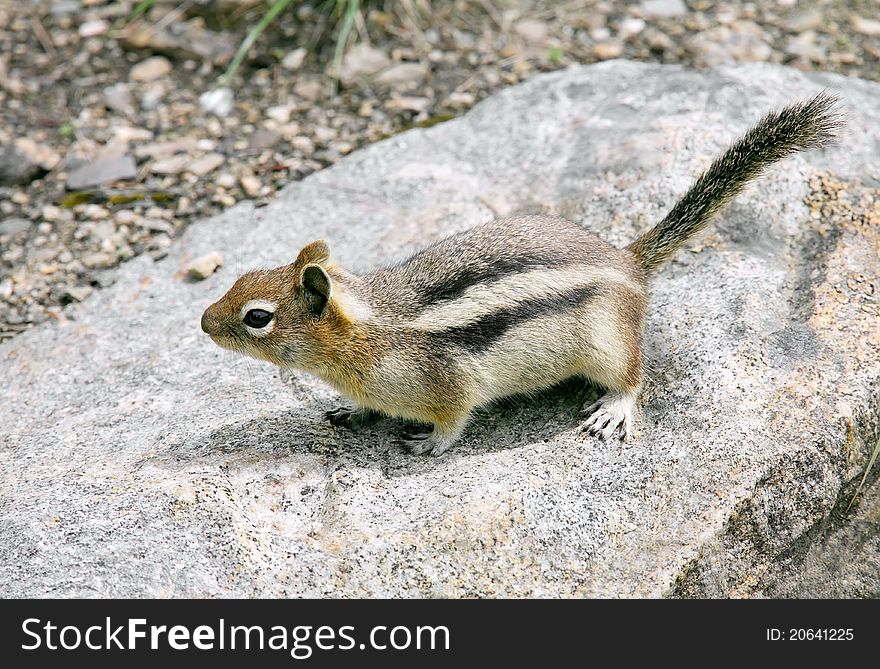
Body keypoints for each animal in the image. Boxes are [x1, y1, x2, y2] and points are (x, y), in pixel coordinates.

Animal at [199, 94, 840, 456]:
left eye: (257, 318)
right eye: (241, 276)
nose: (203, 322)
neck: (367, 332)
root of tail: (627, 262)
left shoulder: (447, 385)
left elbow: (454, 419)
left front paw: (429, 443)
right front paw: (354, 411)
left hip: (606, 341)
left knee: (634, 374)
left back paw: (615, 409)